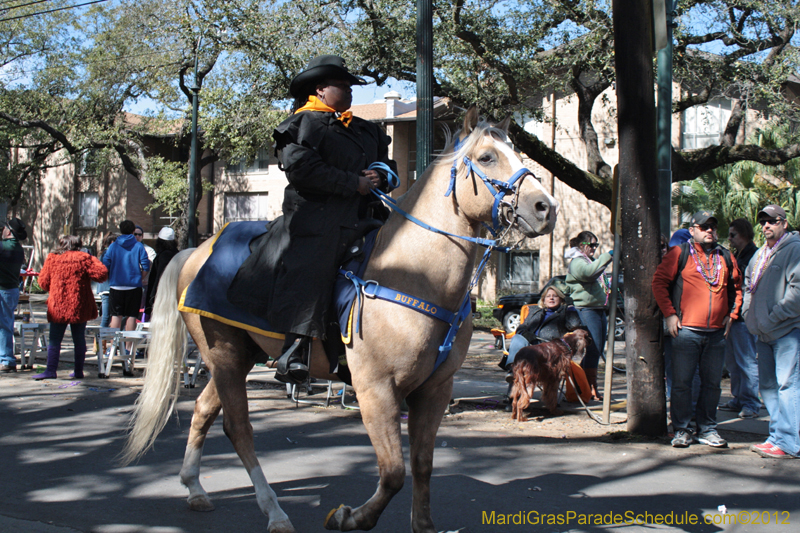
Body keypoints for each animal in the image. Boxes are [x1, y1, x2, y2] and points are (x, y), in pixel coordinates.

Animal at [120, 106, 556, 528]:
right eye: (486, 157)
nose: (545, 208)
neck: (414, 275)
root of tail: (195, 251)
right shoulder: (375, 388)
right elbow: (393, 473)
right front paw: (350, 517)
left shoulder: (434, 390)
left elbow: (422, 466)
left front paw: (422, 524)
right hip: (222, 352)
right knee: (237, 425)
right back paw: (274, 512)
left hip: (239, 355)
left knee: (205, 410)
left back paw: (195, 488)